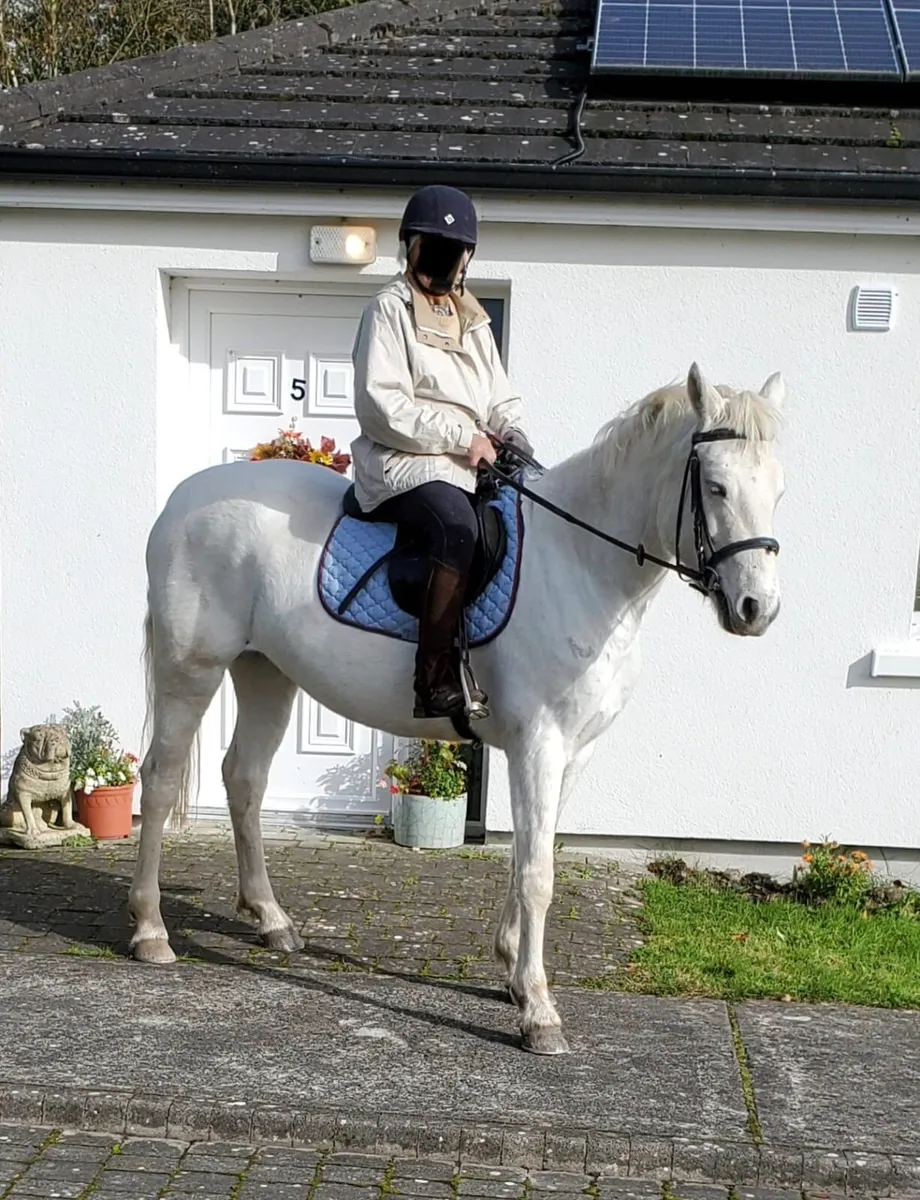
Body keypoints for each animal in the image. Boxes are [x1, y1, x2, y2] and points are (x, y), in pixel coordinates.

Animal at [129, 362, 786, 1056]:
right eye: (715, 486)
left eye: (779, 490)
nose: (757, 610)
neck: (582, 565)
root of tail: (181, 499)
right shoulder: (539, 744)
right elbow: (538, 873)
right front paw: (539, 1012)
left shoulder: (573, 751)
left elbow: (528, 853)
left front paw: (514, 974)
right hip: (192, 670)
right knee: (161, 778)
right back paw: (150, 931)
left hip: (267, 673)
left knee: (245, 780)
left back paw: (271, 920)